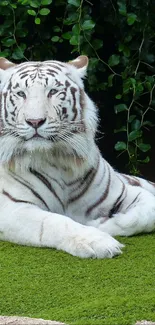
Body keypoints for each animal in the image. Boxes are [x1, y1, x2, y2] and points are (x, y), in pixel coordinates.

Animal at [0, 55, 154, 258]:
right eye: (21, 94)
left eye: (53, 92)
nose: (35, 121)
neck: (57, 159)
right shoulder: (12, 208)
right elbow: (54, 222)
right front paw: (98, 241)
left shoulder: (126, 192)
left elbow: (145, 215)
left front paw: (101, 224)